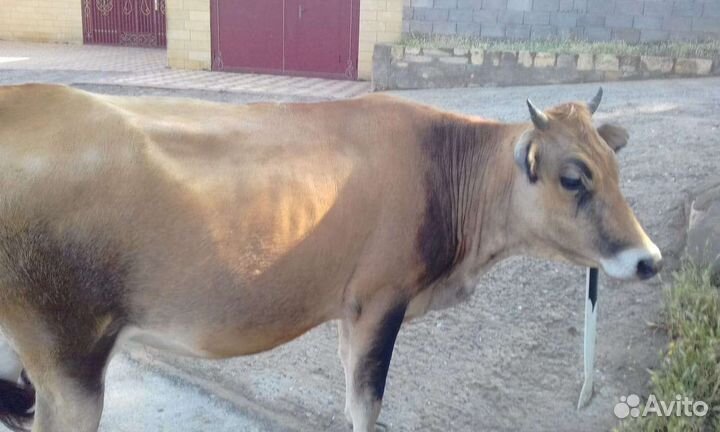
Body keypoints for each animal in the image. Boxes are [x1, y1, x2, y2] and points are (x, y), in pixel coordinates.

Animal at [0, 84, 661, 432]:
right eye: (573, 178)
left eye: (615, 165)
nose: (650, 259)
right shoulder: (381, 300)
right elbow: (366, 402)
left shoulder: (350, 310)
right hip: (69, 355)